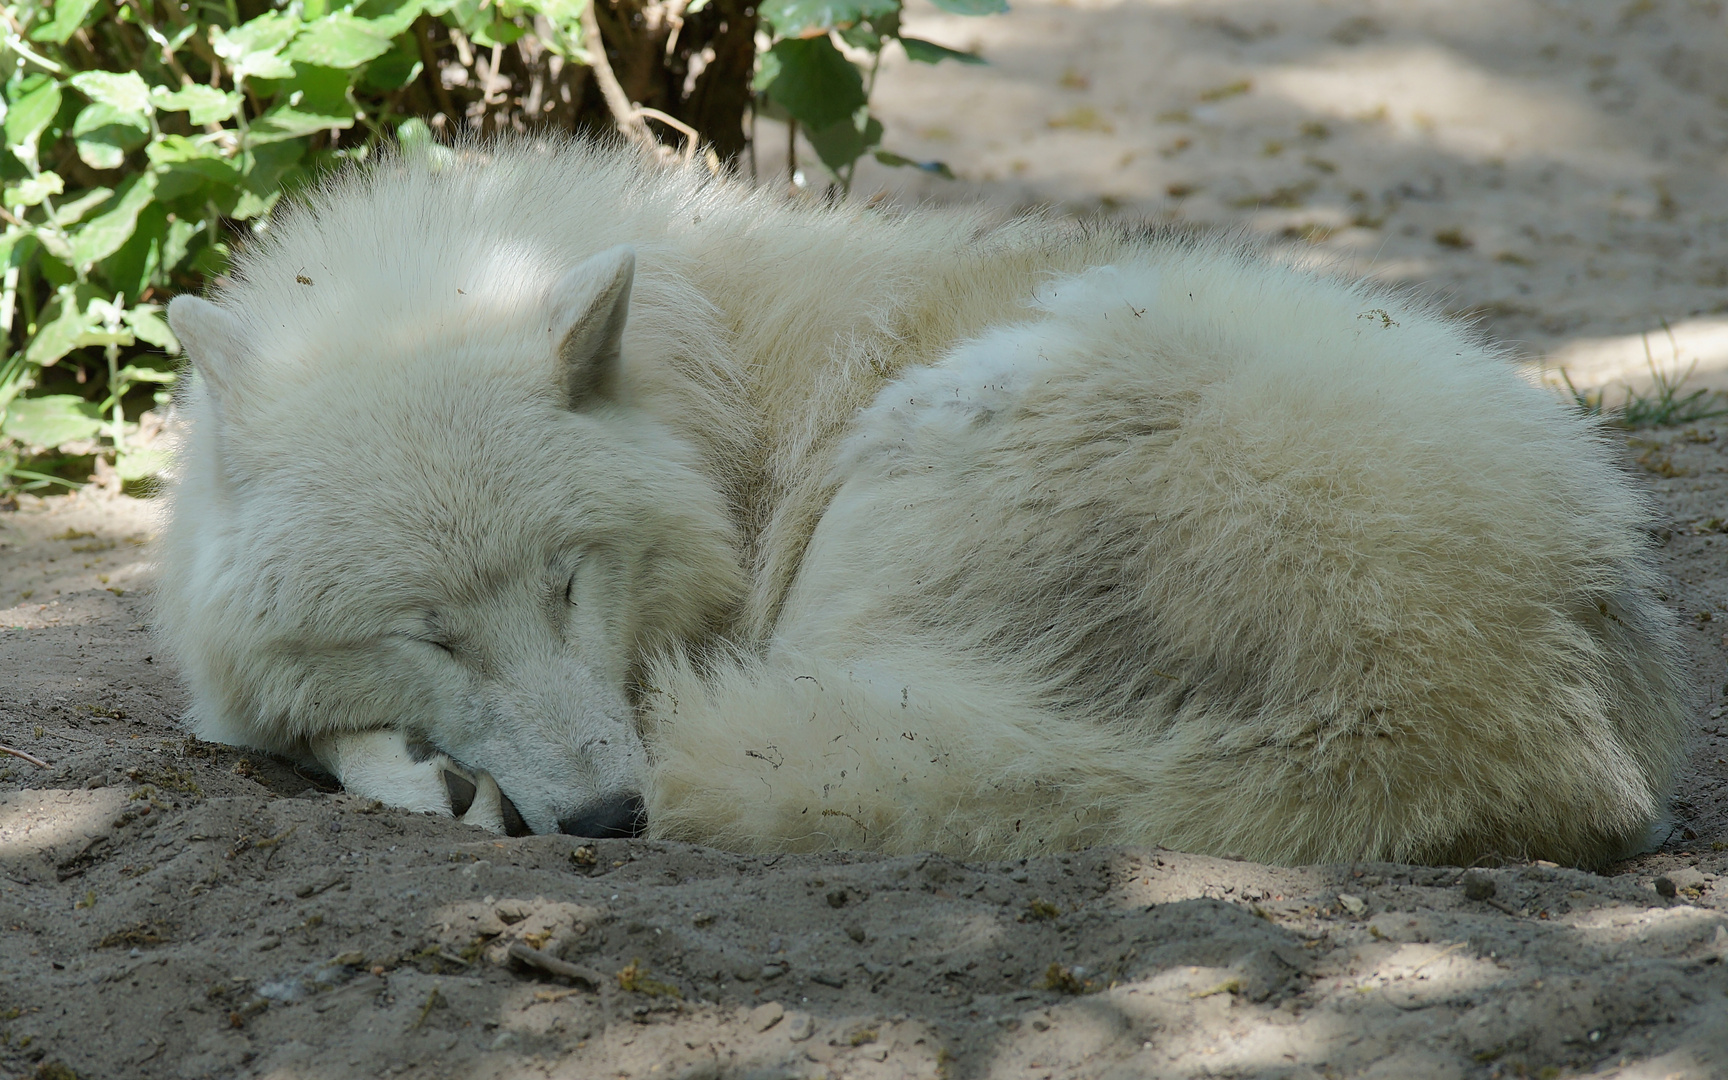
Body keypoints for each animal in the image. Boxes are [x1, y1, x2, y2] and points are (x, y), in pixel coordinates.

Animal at [155, 139, 1679, 867]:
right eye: (432, 633)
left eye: (572, 578)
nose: (604, 820)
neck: (713, 397)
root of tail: (1461, 712)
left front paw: (433, 780)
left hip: (924, 454)